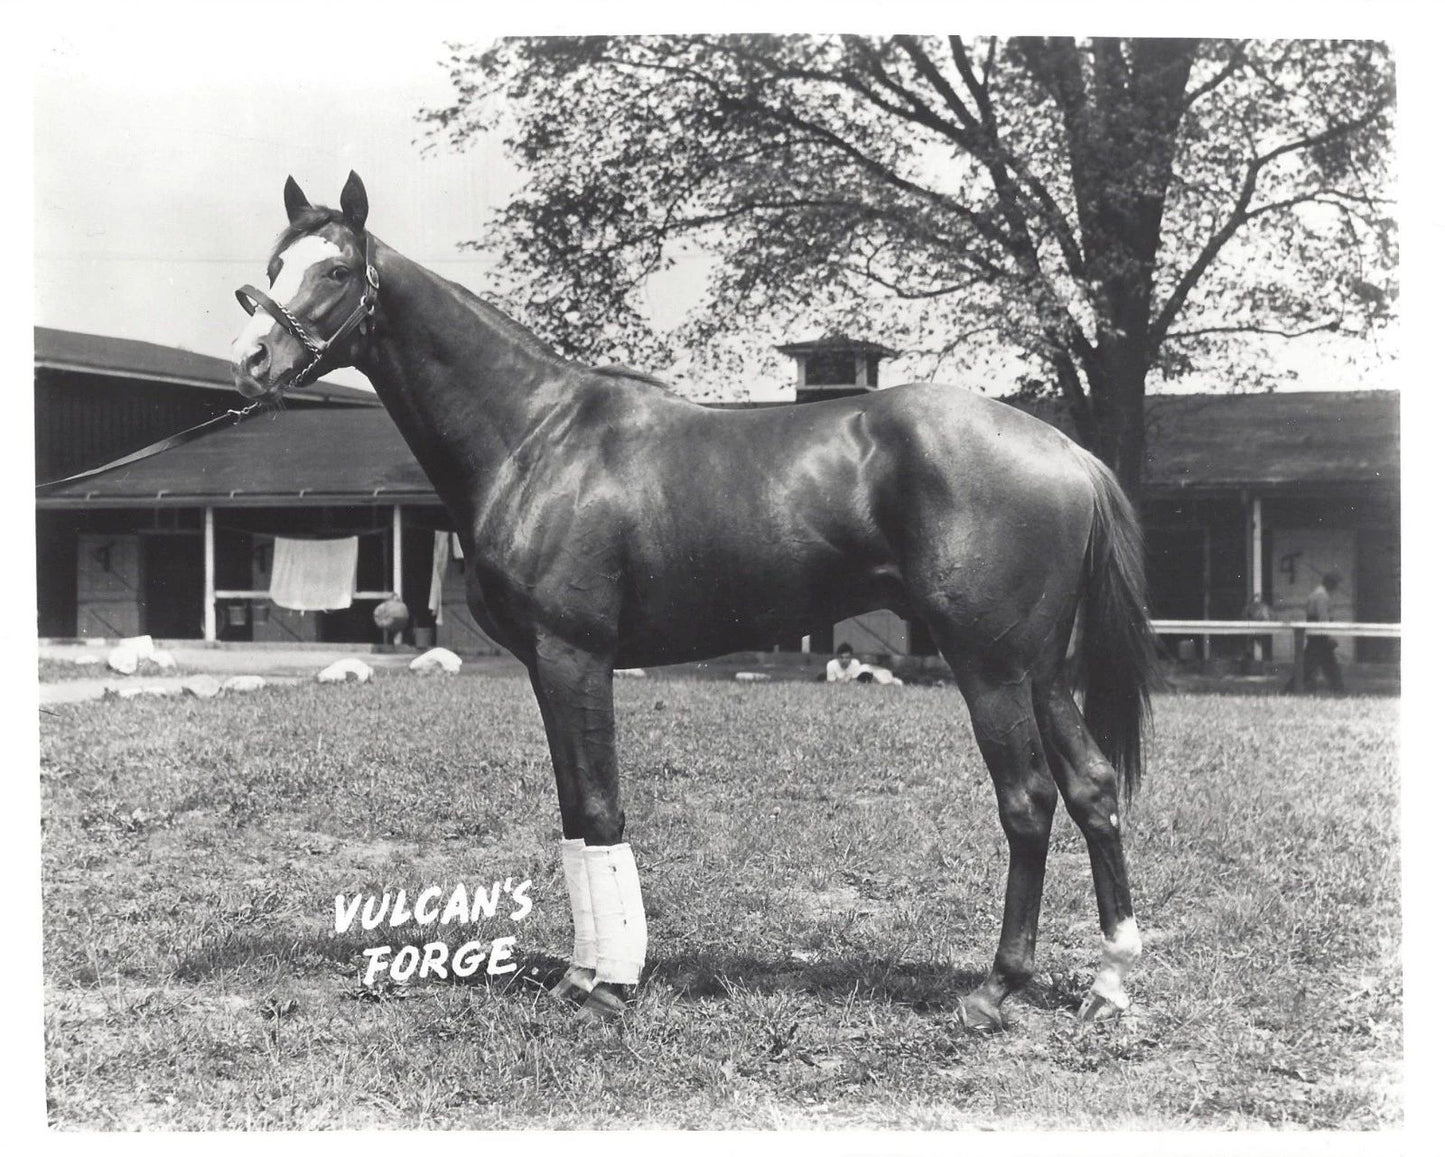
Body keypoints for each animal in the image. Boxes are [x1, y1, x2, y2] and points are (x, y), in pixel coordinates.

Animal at [231, 172, 1158, 1030]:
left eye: (336, 268)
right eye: (274, 265)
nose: (250, 362)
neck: (536, 436)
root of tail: (1067, 453)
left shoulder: (576, 656)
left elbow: (599, 806)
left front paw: (608, 986)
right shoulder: (544, 665)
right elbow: (574, 812)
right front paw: (581, 972)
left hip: (989, 667)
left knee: (1028, 801)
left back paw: (996, 988)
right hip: (1040, 670)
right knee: (1092, 788)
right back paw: (1109, 983)